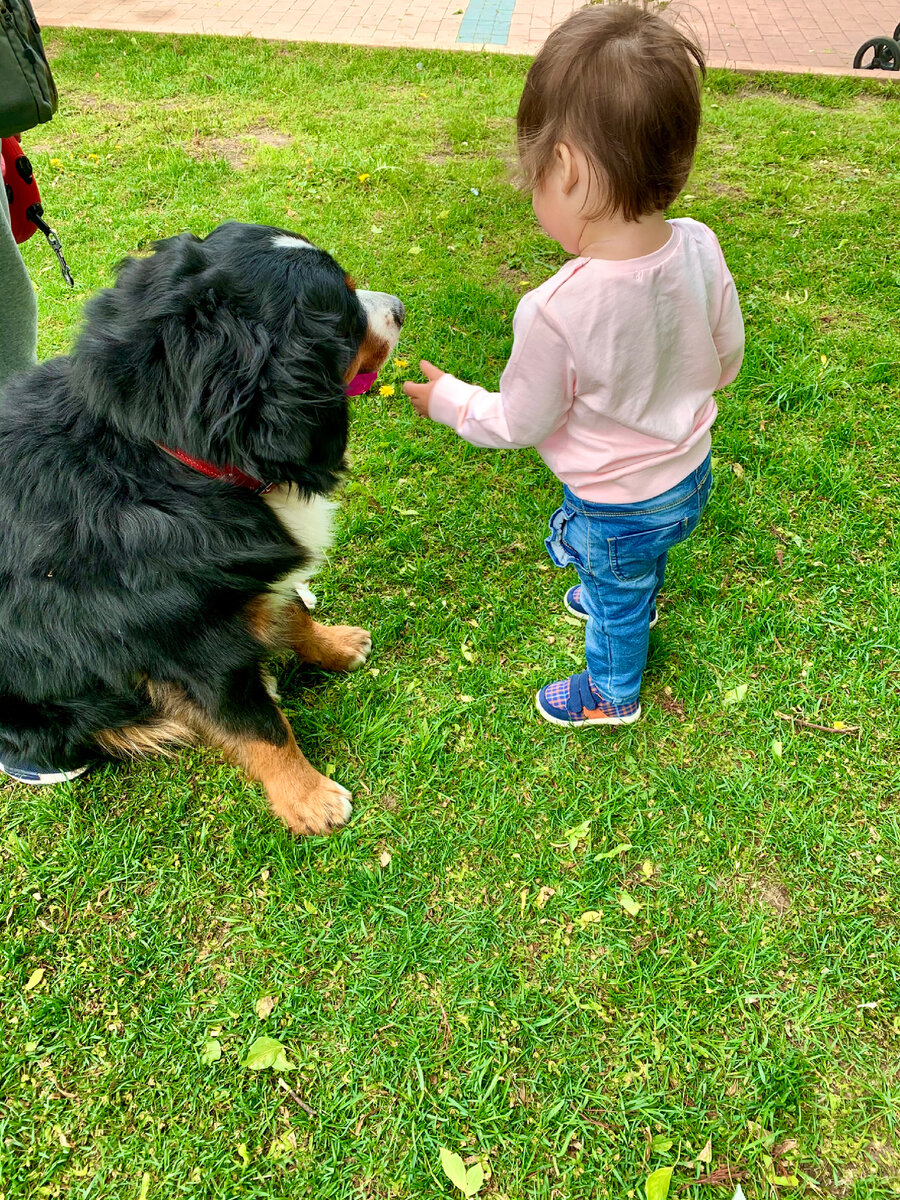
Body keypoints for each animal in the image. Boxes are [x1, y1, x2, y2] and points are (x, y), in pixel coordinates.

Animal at [0, 223, 405, 835]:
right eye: (345, 314)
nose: (399, 309)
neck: (169, 458)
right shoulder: (193, 641)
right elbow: (262, 728)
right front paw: (310, 800)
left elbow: (293, 610)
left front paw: (334, 645)